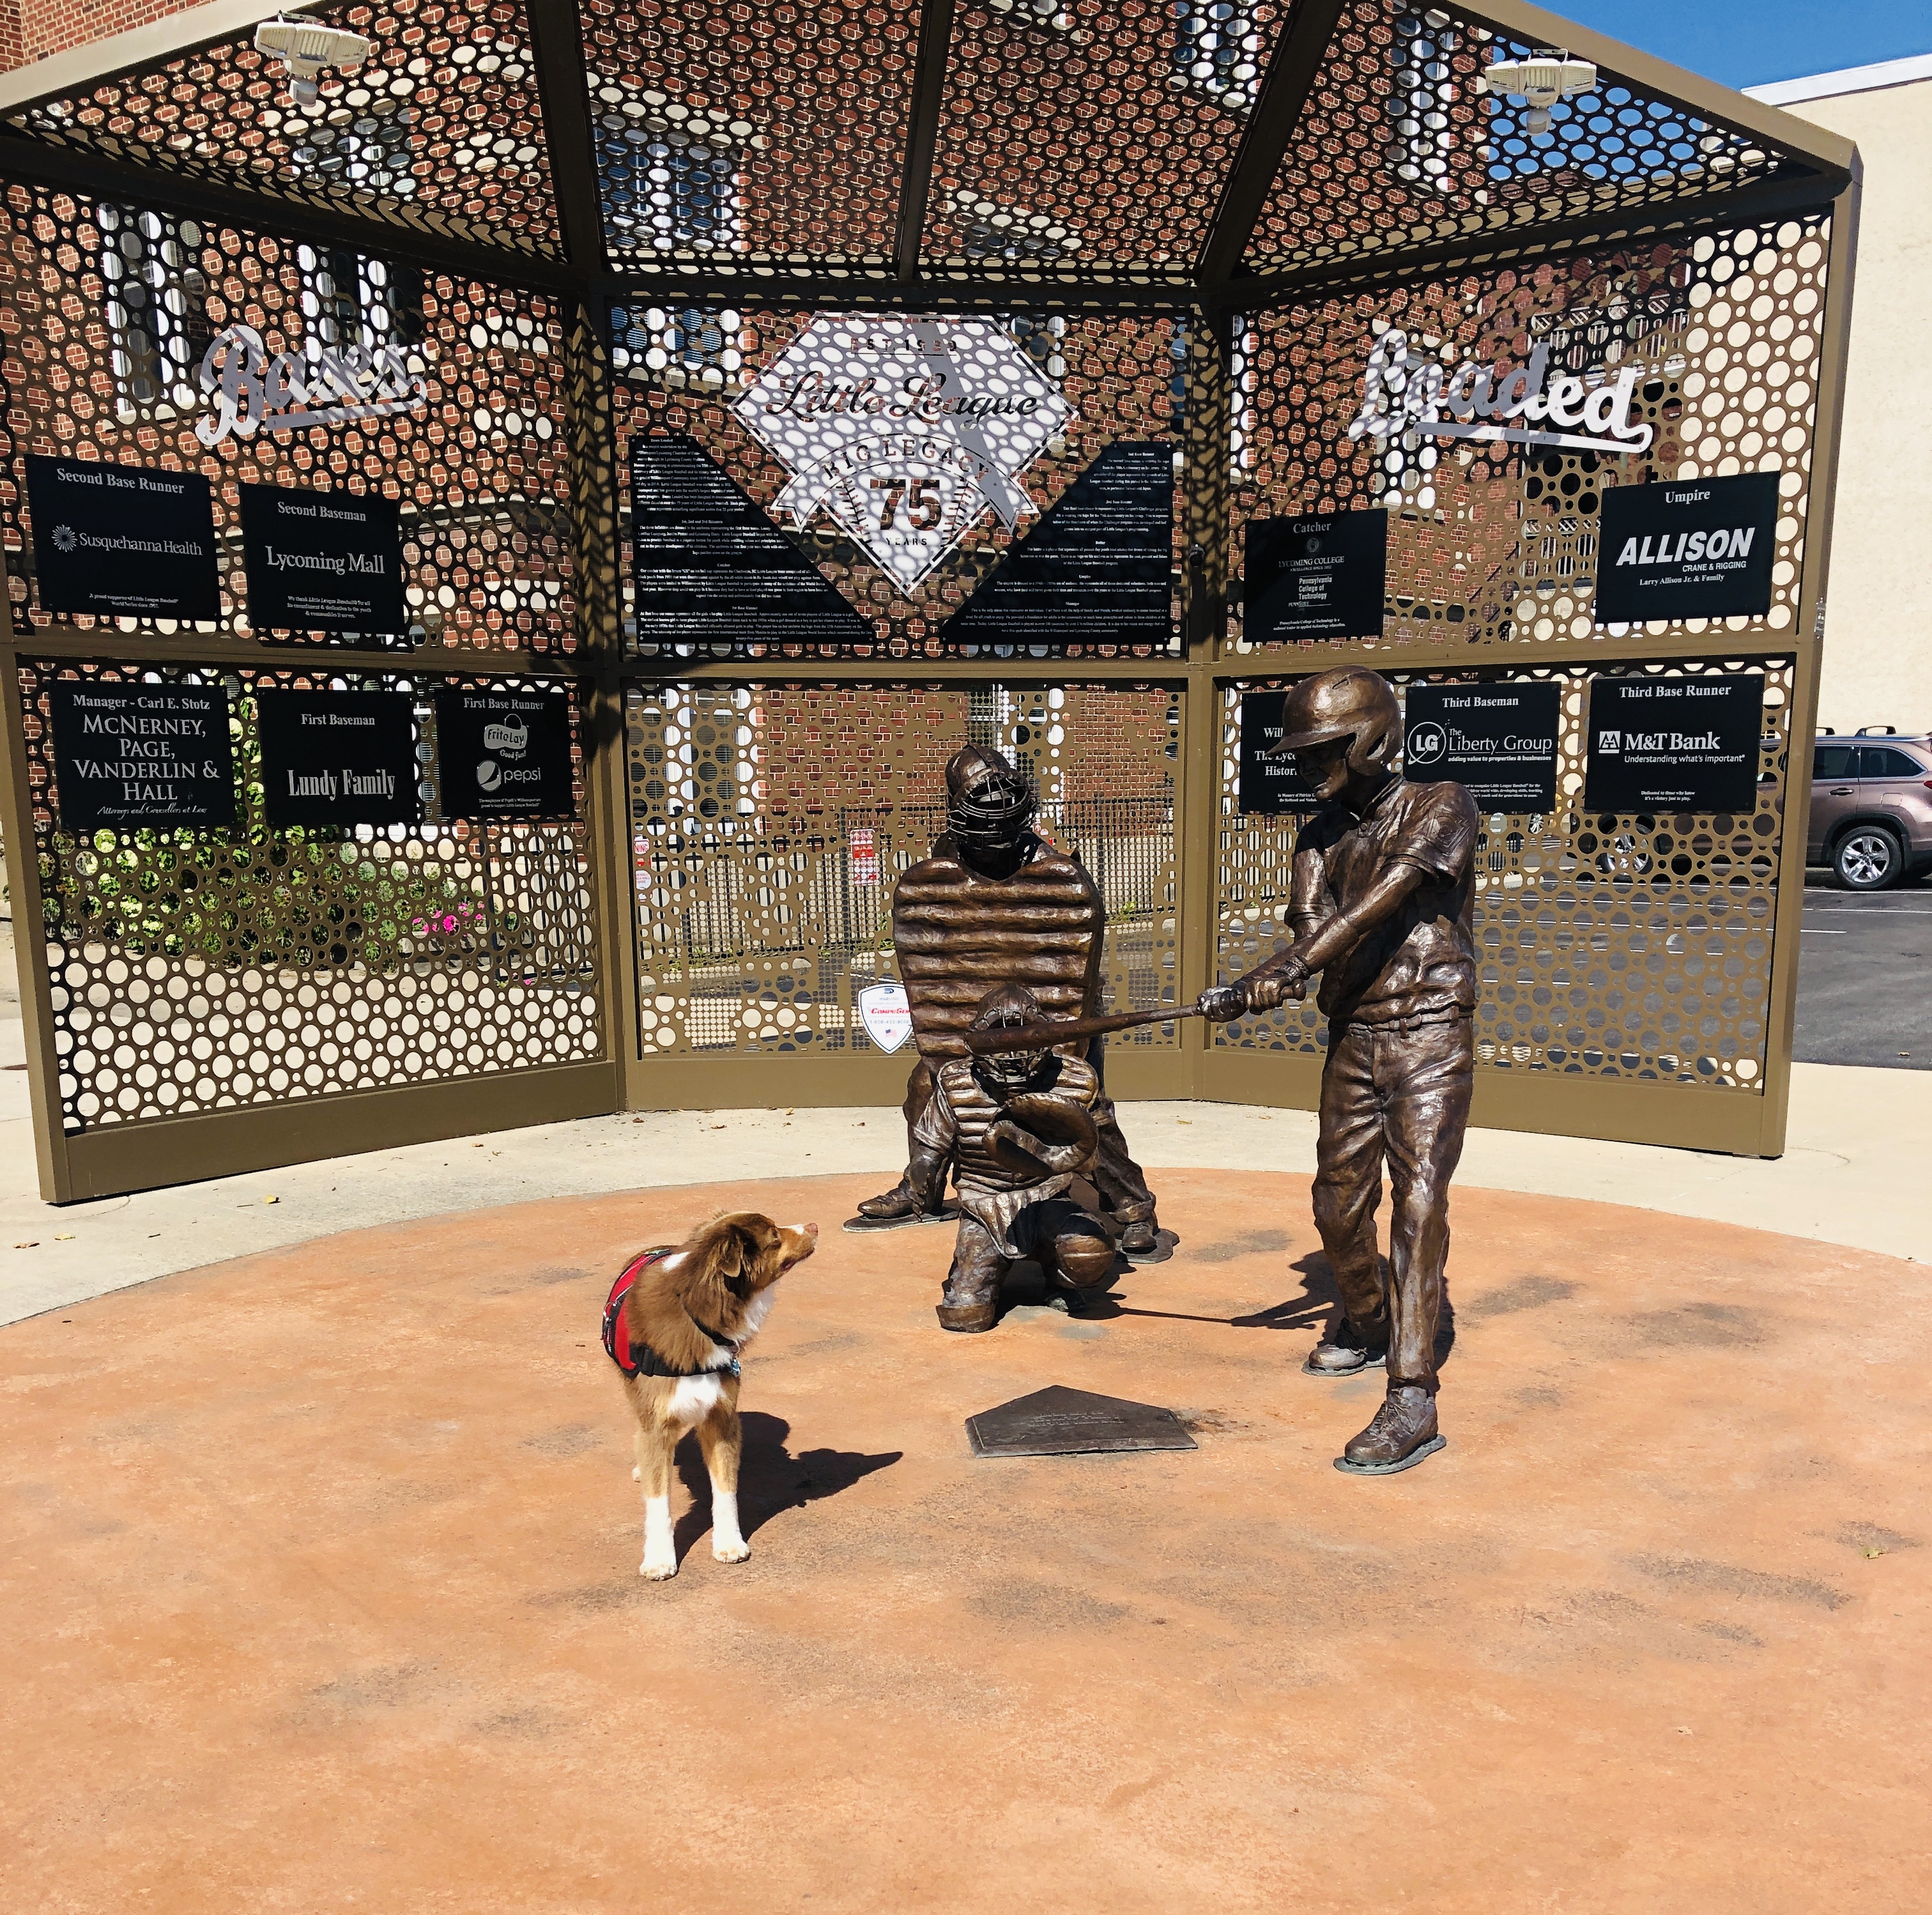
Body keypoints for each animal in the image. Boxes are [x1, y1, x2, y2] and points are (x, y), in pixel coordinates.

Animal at [603, 1211, 818, 1580]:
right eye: (775, 1236)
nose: (816, 1226)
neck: (700, 1314)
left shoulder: (722, 1418)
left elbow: (726, 1490)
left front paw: (729, 1543)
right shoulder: (657, 1425)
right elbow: (658, 1502)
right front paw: (660, 1558)